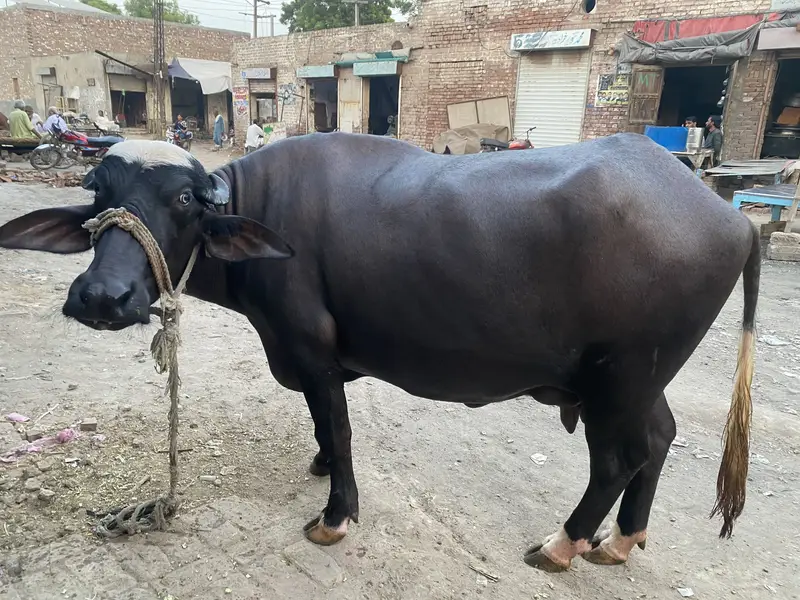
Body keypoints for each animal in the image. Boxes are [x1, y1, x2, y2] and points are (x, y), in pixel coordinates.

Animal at [0, 133, 759, 573]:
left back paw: (563, 543)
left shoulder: (312, 352)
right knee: (659, 439)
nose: (103, 296)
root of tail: (732, 217)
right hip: (643, 380)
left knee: (619, 458)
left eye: (184, 198)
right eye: (99, 193)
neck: (260, 214)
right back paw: (624, 539)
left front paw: (335, 515)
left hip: (616, 379)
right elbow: (319, 427)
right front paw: (316, 466)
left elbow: (338, 428)